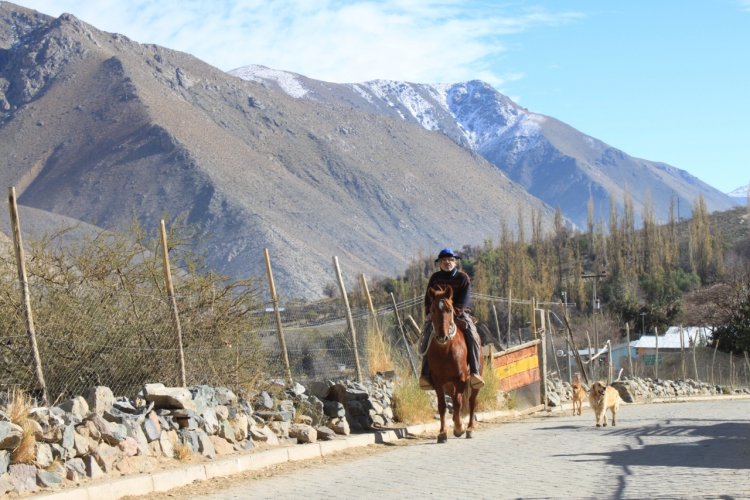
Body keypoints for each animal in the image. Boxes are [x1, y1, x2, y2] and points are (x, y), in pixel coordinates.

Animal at [426, 284, 484, 444]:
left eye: (449, 310)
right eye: (432, 310)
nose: (442, 336)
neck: (445, 351)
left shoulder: (461, 379)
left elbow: (458, 403)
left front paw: (459, 428)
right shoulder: (438, 382)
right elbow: (442, 406)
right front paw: (442, 433)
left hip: (473, 382)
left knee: (471, 401)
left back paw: (470, 428)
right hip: (449, 384)